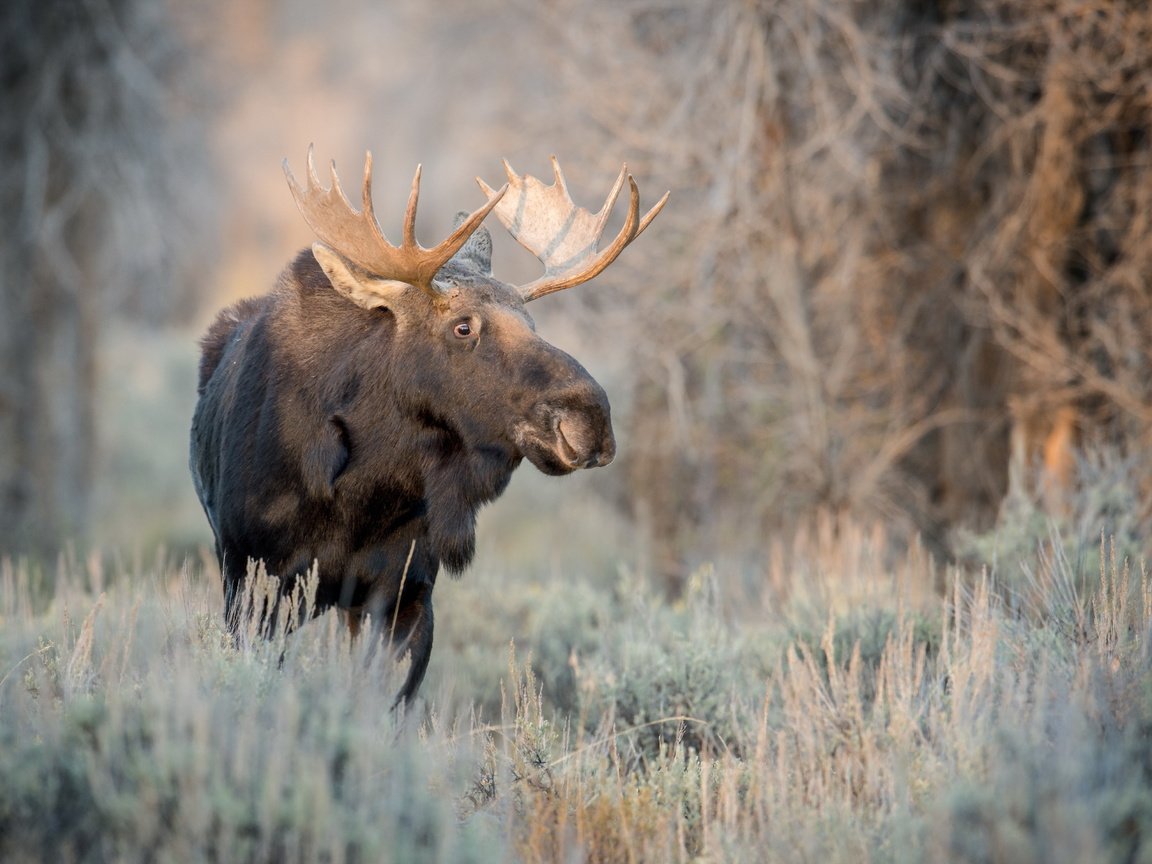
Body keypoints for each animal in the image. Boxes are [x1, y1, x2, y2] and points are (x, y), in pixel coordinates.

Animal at [191, 145, 668, 705]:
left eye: (532, 324)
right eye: (463, 327)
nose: (590, 420)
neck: (359, 494)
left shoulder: (406, 592)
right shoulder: (255, 581)